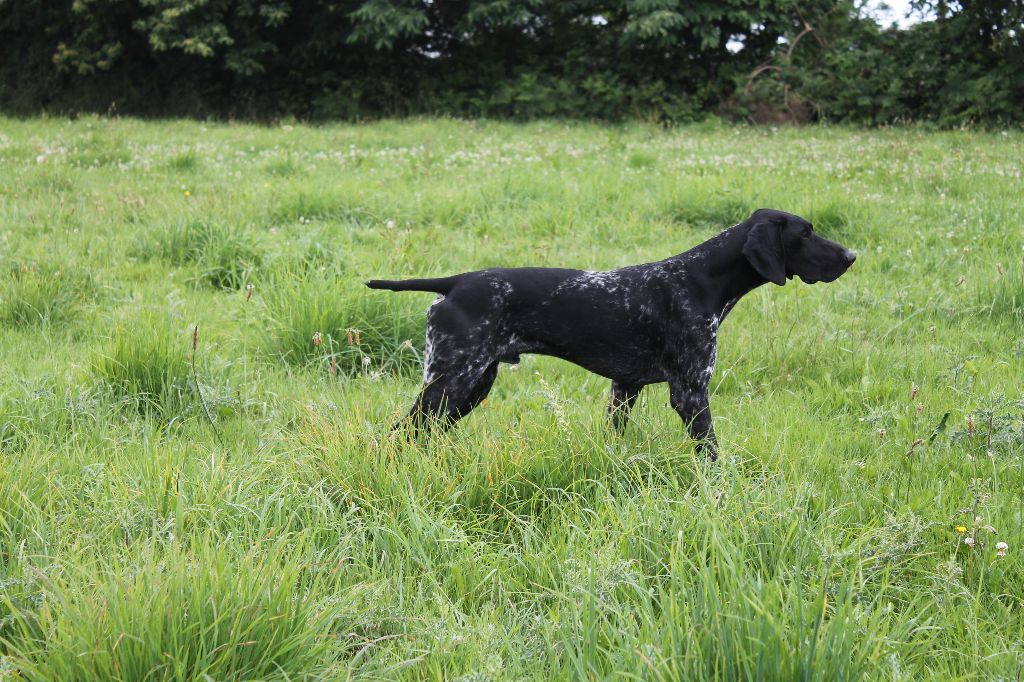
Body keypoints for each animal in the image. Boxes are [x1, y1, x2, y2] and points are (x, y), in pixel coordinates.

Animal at [368, 208, 856, 456]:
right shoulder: (691, 392)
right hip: (451, 382)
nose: (851, 256)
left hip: (470, 386)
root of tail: (454, 282)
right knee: (399, 433)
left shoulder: (625, 387)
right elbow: (712, 453)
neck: (701, 280)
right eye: (805, 233)